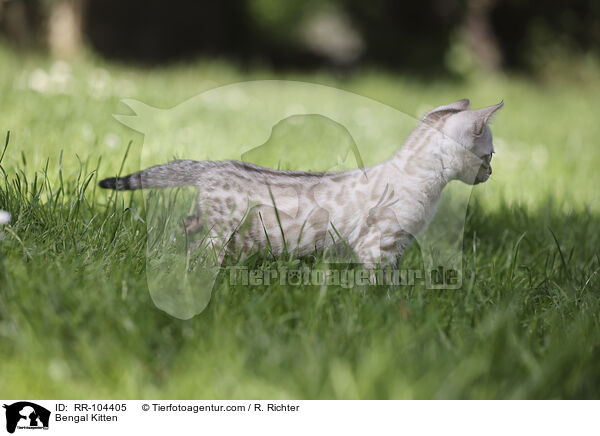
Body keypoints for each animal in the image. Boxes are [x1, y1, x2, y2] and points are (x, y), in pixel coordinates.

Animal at [101, 100, 504, 268]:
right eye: (490, 154)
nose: (490, 174)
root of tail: (215, 167)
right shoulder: (379, 244)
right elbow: (379, 283)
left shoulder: (399, 245)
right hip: (226, 232)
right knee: (200, 251)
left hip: (224, 228)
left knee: (187, 227)